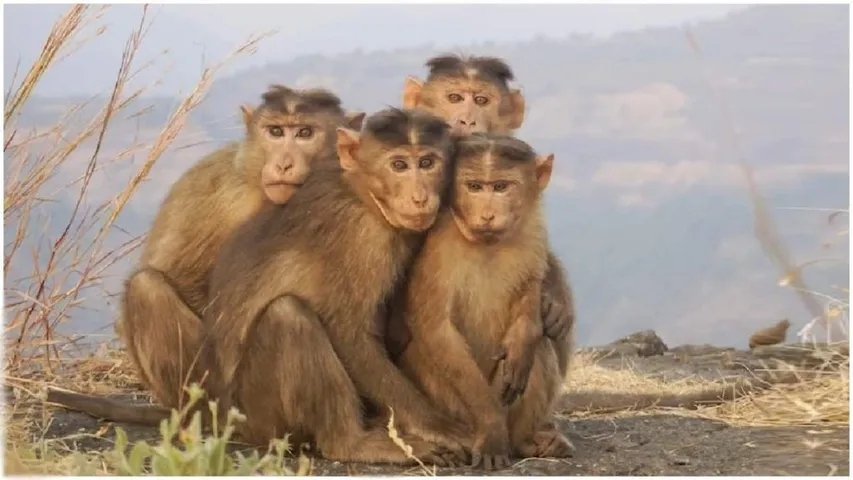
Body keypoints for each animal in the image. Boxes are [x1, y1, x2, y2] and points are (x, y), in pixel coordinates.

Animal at [117, 84, 365, 412]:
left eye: (304, 132)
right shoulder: (221, 193)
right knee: (146, 288)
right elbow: (179, 276)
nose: (283, 163)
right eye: (275, 131)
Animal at [198, 108, 472, 465]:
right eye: (399, 165)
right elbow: (349, 333)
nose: (420, 196)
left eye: (427, 163)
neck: (363, 195)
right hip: (260, 418)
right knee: (288, 315)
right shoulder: (360, 238)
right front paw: (435, 425)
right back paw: (352, 443)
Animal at [395, 133, 573, 470]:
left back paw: (526, 441)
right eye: (475, 186)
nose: (487, 215)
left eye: (501, 186)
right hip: (452, 407)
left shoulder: (533, 230)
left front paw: (522, 339)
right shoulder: (439, 246)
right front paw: (491, 428)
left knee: (539, 348)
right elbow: (437, 329)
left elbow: (531, 288)